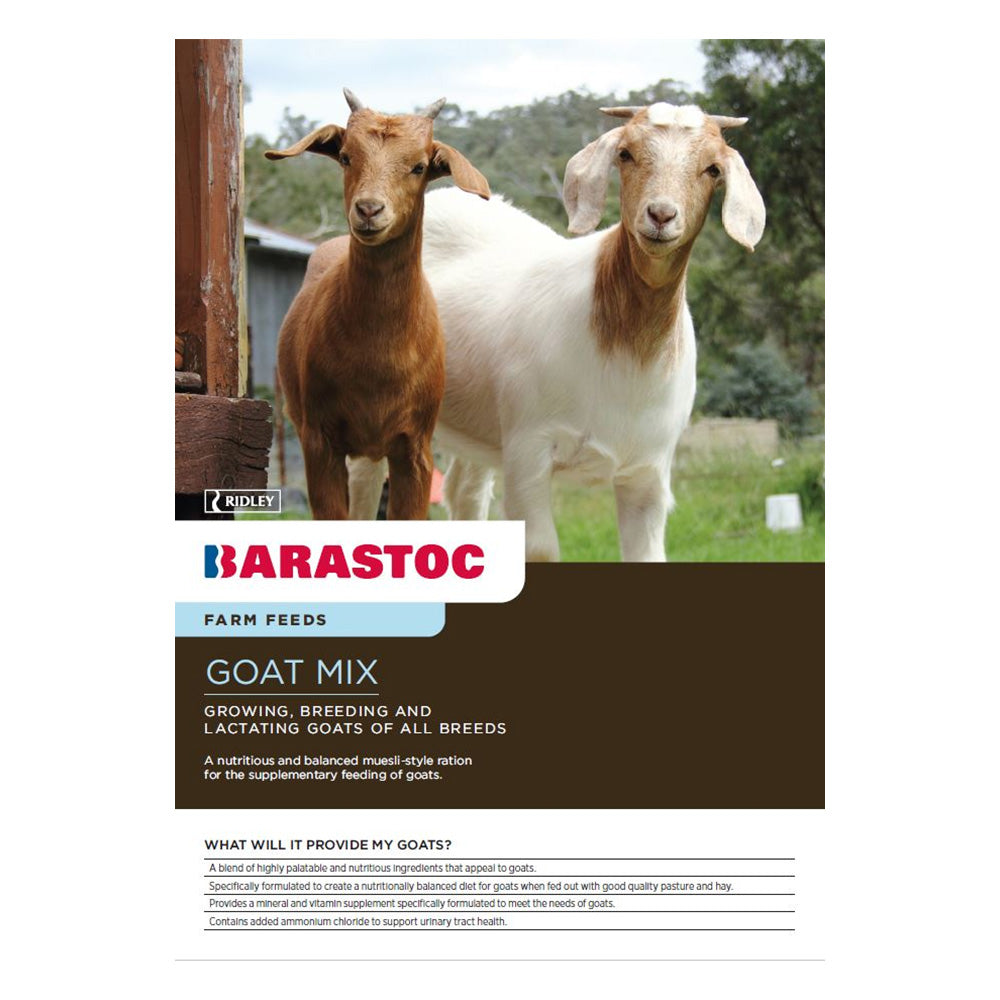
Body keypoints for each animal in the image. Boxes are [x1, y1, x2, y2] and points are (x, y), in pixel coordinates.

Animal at [267, 89, 490, 519]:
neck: (378, 357)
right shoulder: (319, 441)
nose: (369, 209)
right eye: (346, 156)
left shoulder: (415, 448)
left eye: (419, 166)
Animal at [405, 101, 765, 559]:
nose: (661, 215)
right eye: (625, 154)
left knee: (464, 496)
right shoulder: (528, 452)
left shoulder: (648, 473)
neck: (624, 347)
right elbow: (541, 548)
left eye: (713, 168)